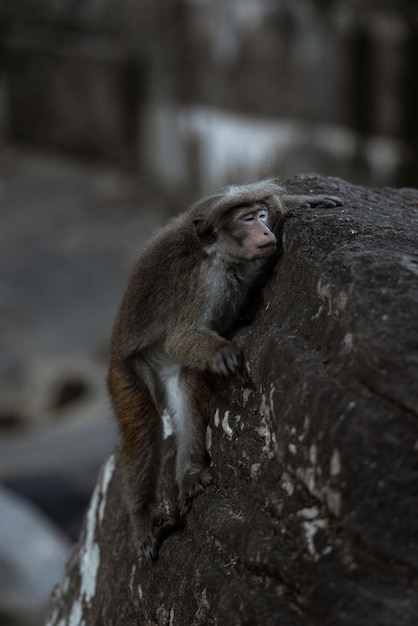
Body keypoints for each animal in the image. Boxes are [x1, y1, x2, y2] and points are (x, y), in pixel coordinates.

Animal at [108, 179, 342, 556]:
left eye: (260, 215)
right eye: (247, 219)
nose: (265, 229)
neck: (222, 259)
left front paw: (300, 201)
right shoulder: (202, 284)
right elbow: (181, 337)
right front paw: (225, 351)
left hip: (170, 367)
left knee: (189, 384)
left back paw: (190, 474)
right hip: (125, 373)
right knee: (143, 425)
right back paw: (142, 515)